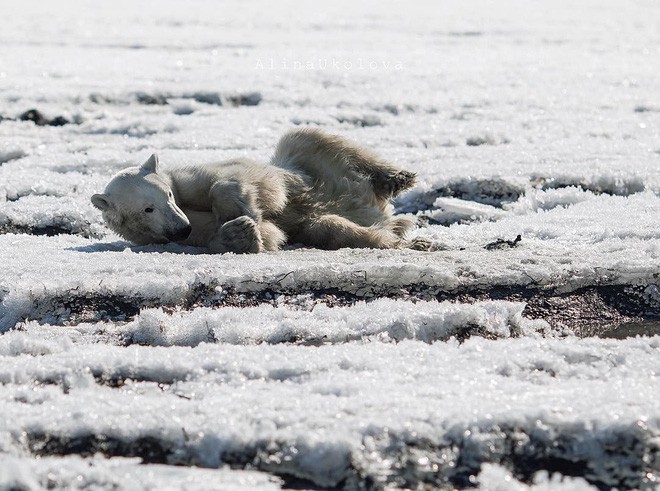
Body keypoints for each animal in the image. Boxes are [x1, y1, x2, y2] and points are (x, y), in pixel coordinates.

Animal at [91, 130, 428, 254]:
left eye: (168, 196)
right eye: (146, 209)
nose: (181, 227)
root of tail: (377, 211)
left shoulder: (192, 177)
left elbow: (231, 181)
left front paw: (242, 210)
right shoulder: (180, 236)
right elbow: (267, 234)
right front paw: (242, 230)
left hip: (315, 168)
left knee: (305, 138)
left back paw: (396, 179)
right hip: (328, 219)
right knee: (331, 229)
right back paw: (395, 238)